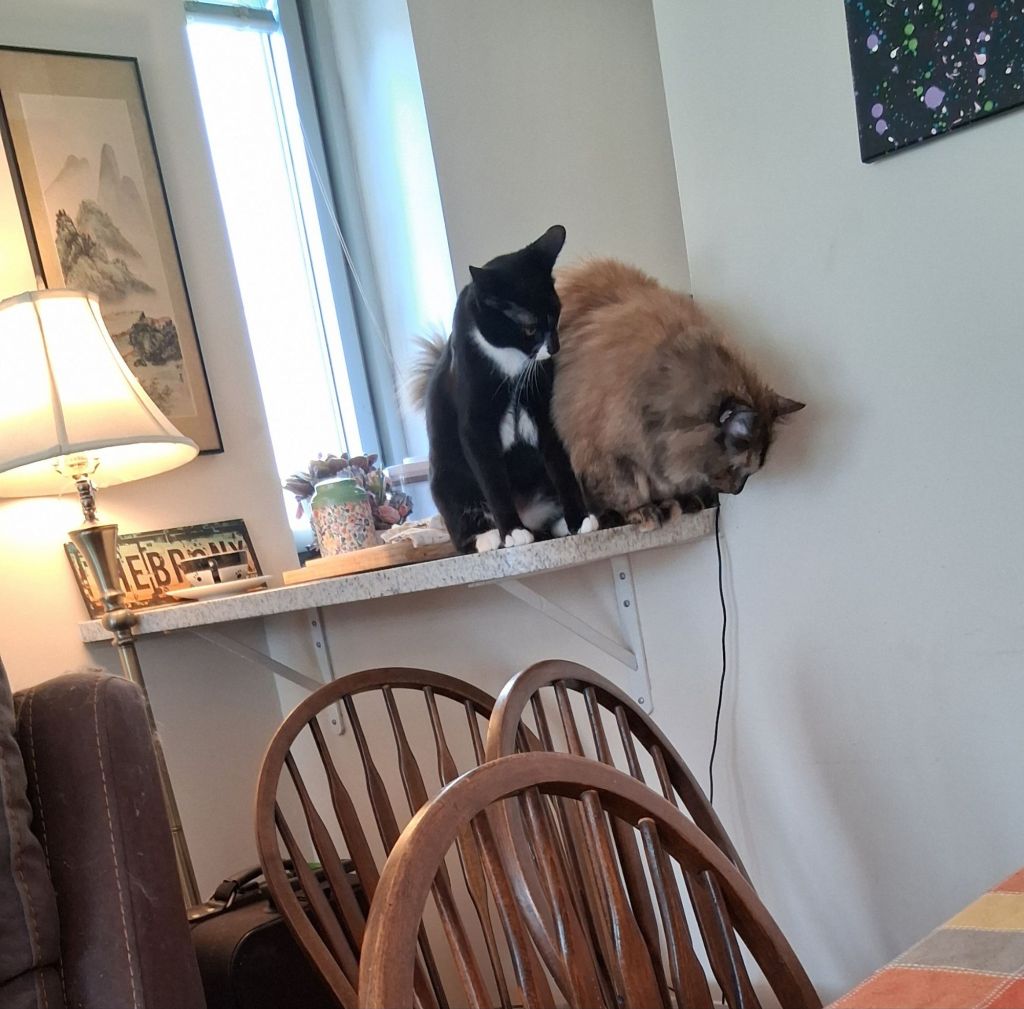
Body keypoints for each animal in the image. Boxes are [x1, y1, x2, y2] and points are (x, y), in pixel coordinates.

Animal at [409, 226, 595, 553]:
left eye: (557, 313)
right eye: (530, 328)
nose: (554, 348)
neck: (512, 362)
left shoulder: (543, 408)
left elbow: (561, 467)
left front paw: (579, 519)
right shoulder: (475, 420)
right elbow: (492, 478)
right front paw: (512, 532)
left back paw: (557, 522)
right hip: (446, 480)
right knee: (461, 534)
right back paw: (490, 536)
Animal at [551, 258, 804, 528]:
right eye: (735, 468)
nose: (738, 491)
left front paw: (678, 503)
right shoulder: (606, 453)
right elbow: (627, 490)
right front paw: (643, 512)